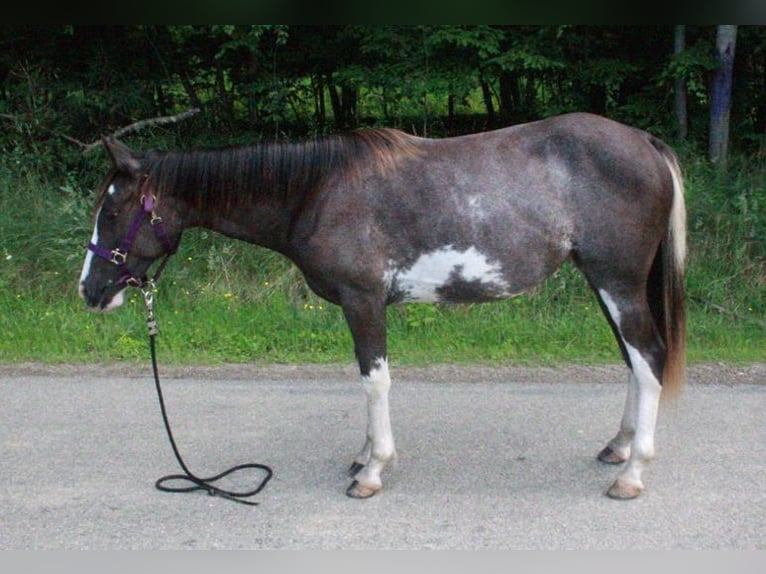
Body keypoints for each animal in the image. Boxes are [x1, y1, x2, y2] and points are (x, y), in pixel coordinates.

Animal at [78, 112, 686, 500]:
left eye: (113, 212)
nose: (90, 290)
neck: (317, 191)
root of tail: (645, 142)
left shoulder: (363, 300)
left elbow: (375, 381)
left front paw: (372, 471)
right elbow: (366, 379)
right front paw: (362, 454)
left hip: (617, 281)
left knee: (648, 358)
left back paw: (632, 475)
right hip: (605, 283)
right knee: (633, 361)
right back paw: (618, 448)